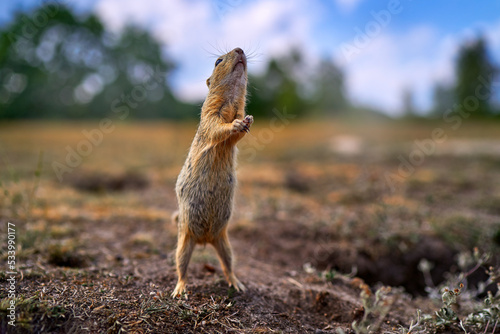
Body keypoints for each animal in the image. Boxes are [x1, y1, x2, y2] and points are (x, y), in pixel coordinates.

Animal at [171, 47, 252, 298]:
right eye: (218, 61)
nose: (240, 49)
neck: (231, 102)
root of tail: (205, 240)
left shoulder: (238, 111)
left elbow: (238, 134)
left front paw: (247, 121)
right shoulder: (210, 116)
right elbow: (218, 128)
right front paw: (234, 125)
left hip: (225, 245)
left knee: (227, 266)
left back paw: (236, 283)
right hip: (183, 243)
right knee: (182, 268)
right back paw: (179, 289)